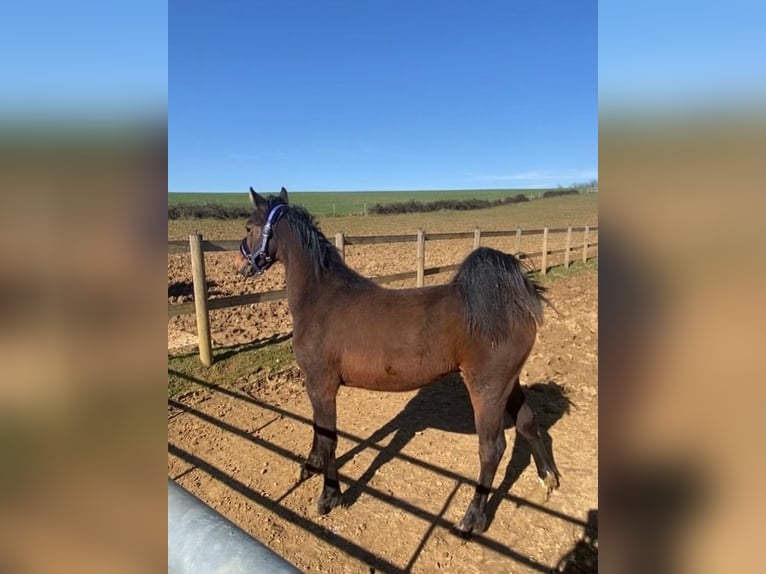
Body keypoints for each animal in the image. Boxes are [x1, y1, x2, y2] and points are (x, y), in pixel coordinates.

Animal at [235, 187, 560, 534]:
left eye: (249, 227)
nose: (240, 265)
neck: (321, 299)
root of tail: (514, 302)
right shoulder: (315, 386)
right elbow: (318, 431)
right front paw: (311, 466)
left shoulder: (322, 385)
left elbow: (328, 439)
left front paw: (329, 497)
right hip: (509, 383)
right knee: (528, 422)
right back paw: (548, 478)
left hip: (487, 388)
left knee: (492, 449)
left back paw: (472, 518)